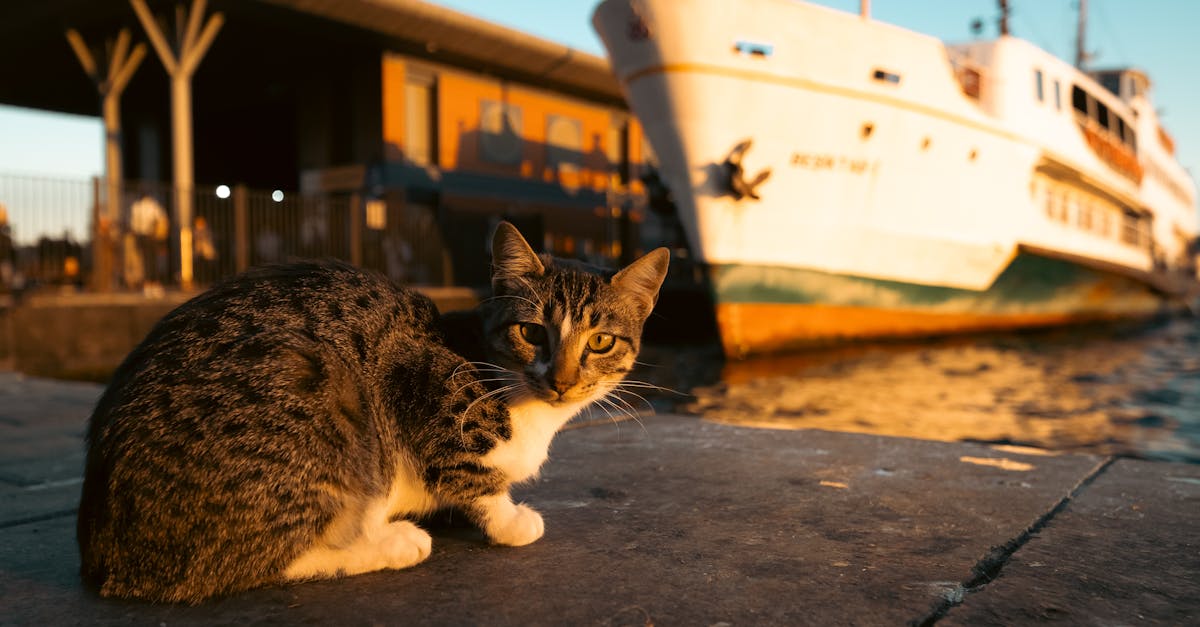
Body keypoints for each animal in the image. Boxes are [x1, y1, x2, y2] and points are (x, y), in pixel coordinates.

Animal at [78, 222, 672, 602]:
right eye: (531, 332)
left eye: (600, 341)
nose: (562, 381)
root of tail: (107, 558)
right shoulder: (427, 394)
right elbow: (472, 479)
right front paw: (508, 520)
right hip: (320, 400)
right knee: (249, 563)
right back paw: (393, 542)